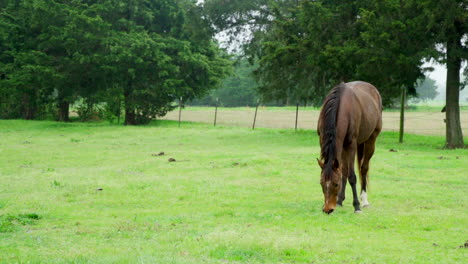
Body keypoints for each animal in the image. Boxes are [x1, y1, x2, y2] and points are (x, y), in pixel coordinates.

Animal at [316, 81, 382, 214]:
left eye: (336, 184)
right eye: (321, 183)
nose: (328, 209)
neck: (342, 107)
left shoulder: (351, 145)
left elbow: (352, 176)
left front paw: (356, 206)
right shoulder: (329, 142)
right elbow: (343, 172)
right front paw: (339, 201)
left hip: (370, 140)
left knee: (363, 168)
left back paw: (364, 200)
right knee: (345, 170)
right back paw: (341, 200)